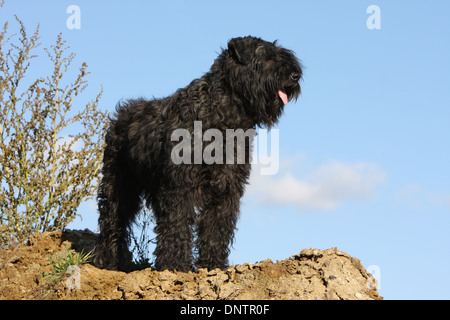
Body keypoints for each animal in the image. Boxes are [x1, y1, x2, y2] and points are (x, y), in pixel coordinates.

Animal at [92, 35, 302, 272]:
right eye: (266, 57)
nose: (295, 76)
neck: (223, 114)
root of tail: (121, 115)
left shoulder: (227, 187)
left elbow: (216, 227)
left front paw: (212, 265)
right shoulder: (180, 185)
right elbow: (177, 223)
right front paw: (175, 265)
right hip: (119, 185)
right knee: (113, 220)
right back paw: (107, 261)